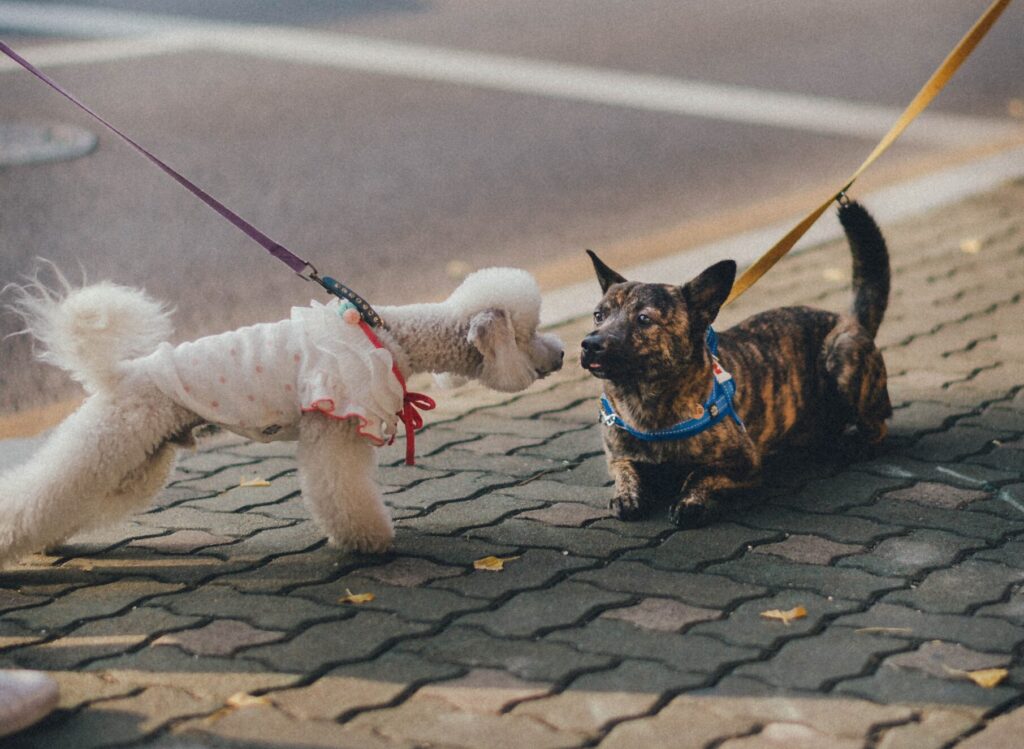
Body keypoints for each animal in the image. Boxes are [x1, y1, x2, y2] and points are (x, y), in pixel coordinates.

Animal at [0, 266, 565, 565]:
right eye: (527, 333)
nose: (562, 354)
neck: (390, 336)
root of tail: (116, 375)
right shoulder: (335, 429)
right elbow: (341, 492)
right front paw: (370, 540)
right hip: (110, 440)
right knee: (35, 495)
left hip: (137, 458)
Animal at [581, 200, 892, 528]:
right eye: (599, 315)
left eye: (644, 319)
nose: (589, 344)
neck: (644, 400)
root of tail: (851, 320)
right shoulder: (618, 457)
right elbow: (626, 470)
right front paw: (628, 494)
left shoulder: (744, 461)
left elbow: (699, 472)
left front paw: (690, 501)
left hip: (843, 356)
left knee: (878, 425)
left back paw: (858, 444)